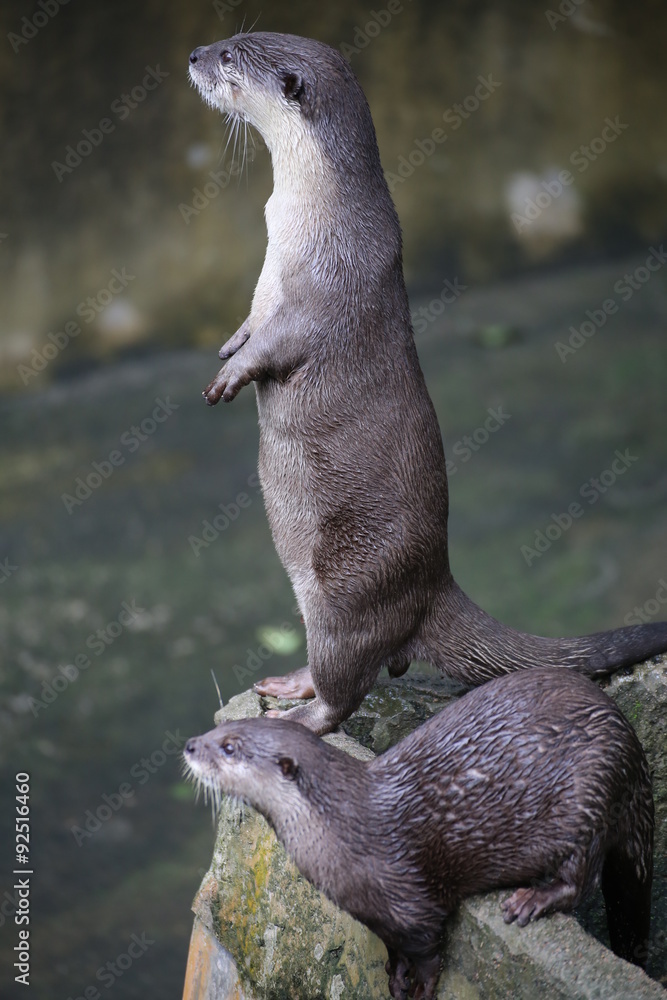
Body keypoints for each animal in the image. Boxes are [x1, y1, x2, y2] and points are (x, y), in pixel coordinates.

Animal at [184, 667, 654, 999]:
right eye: (217, 732)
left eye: (229, 746)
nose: (190, 744)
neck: (350, 829)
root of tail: (629, 737)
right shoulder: (377, 915)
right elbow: (393, 949)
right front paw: (395, 978)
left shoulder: (414, 903)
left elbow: (429, 951)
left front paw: (423, 987)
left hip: (590, 791)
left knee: (582, 876)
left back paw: (530, 900)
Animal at [188, 33, 667, 735]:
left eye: (232, 55)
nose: (195, 56)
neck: (311, 211)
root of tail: (434, 585)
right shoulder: (267, 282)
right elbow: (252, 322)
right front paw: (228, 345)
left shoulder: (328, 282)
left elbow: (279, 343)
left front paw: (229, 376)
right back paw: (291, 683)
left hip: (346, 588)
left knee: (348, 681)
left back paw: (301, 718)